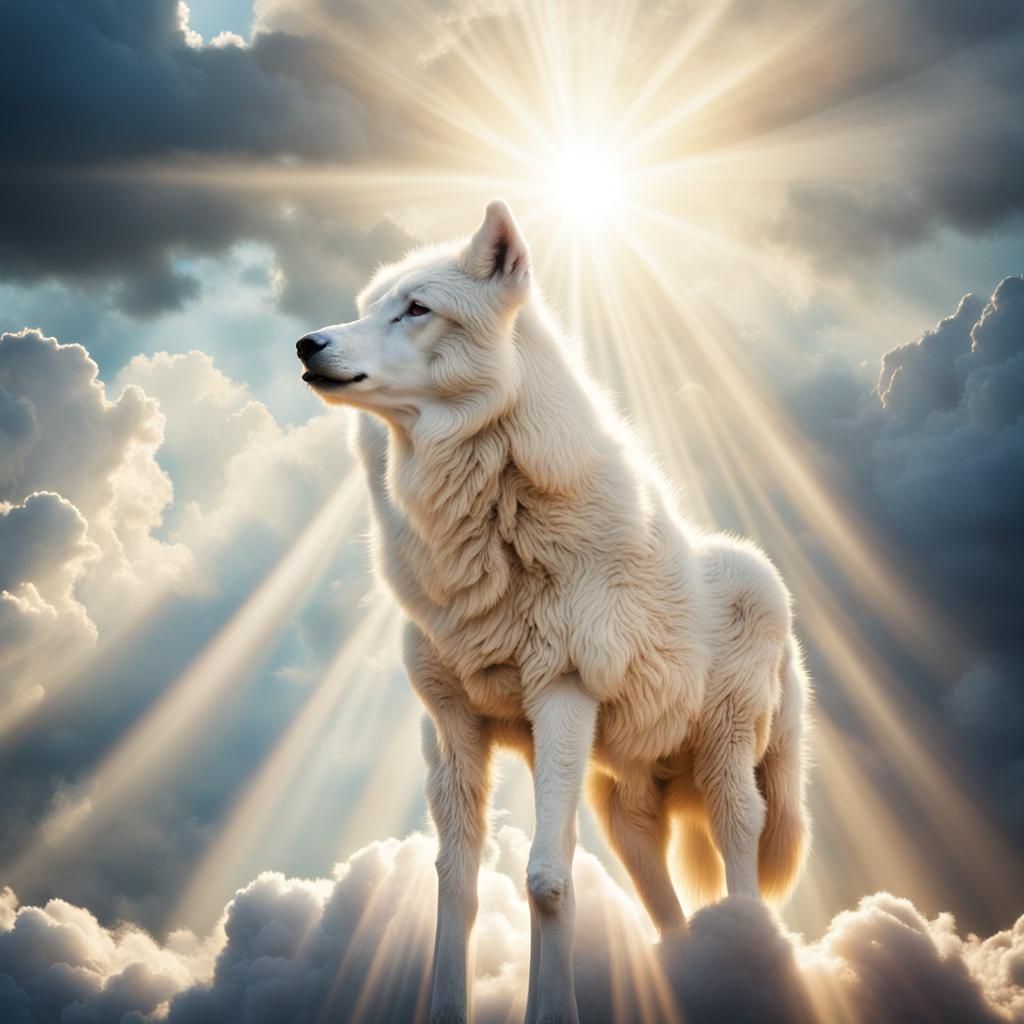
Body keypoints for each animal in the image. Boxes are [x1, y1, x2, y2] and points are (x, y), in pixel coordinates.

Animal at [297, 200, 811, 1024]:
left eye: (417, 309)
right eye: (365, 308)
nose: (309, 343)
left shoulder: (563, 694)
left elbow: (546, 880)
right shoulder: (452, 724)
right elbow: (456, 887)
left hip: (727, 766)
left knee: (741, 860)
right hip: (626, 816)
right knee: (667, 913)